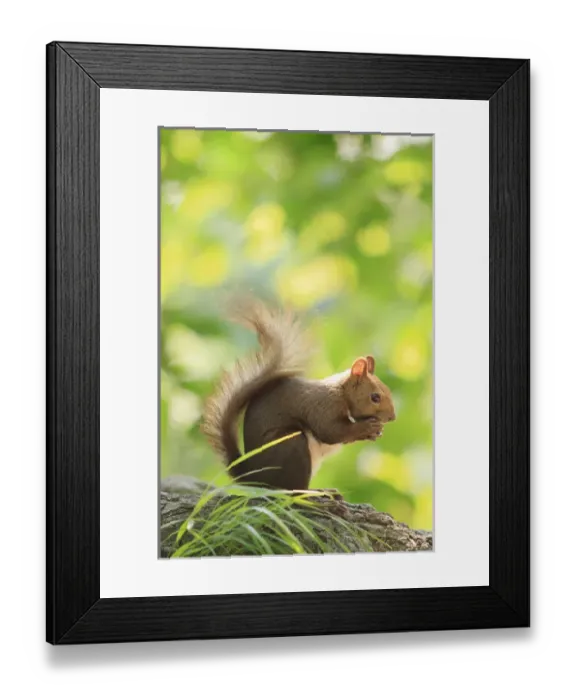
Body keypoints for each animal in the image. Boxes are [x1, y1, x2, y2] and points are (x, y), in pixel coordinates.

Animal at [201, 297, 396, 494]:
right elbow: (332, 432)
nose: (392, 417)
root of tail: (253, 479)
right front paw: (367, 427)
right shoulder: (324, 407)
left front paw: (375, 432)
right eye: (375, 397)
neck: (342, 394)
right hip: (292, 446)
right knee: (289, 489)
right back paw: (315, 492)